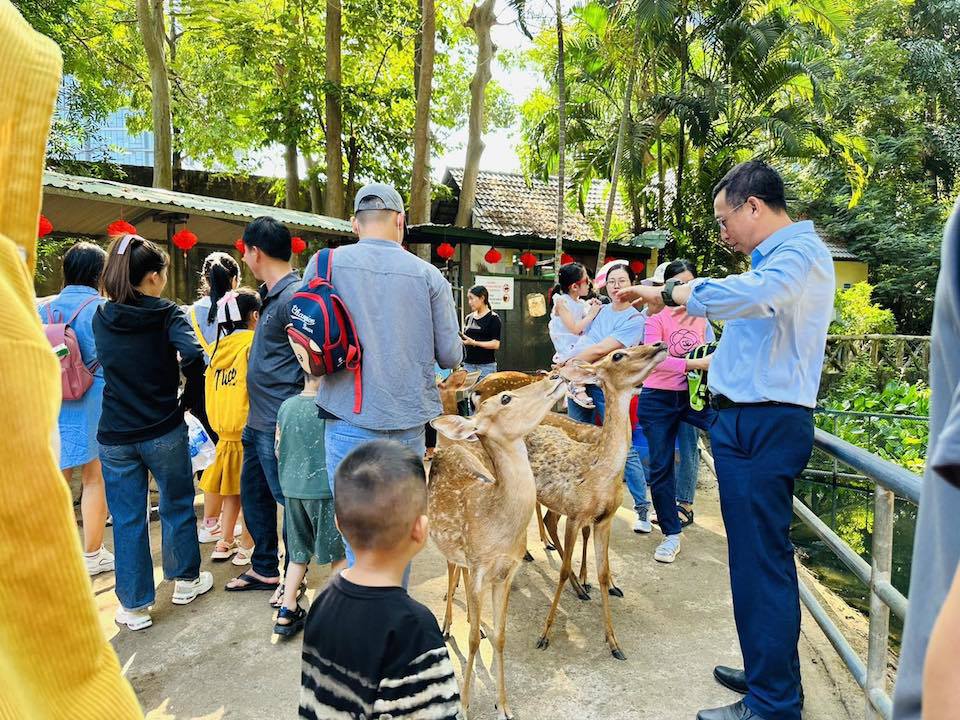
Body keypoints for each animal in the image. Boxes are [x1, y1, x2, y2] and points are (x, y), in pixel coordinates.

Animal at [430, 374, 568, 716]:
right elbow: (472, 643)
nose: (555, 375)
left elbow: (501, 636)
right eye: (505, 398)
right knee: (451, 571)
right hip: (449, 546)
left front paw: (503, 705)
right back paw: (447, 623)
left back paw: (471, 620)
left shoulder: (506, 571)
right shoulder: (480, 567)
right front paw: (464, 707)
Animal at [524, 344, 668, 660]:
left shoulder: (604, 518)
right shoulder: (576, 514)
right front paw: (544, 634)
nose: (659, 345)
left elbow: (603, 573)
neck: (599, 473)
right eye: (618, 355)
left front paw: (614, 642)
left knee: (544, 520)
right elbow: (562, 570)